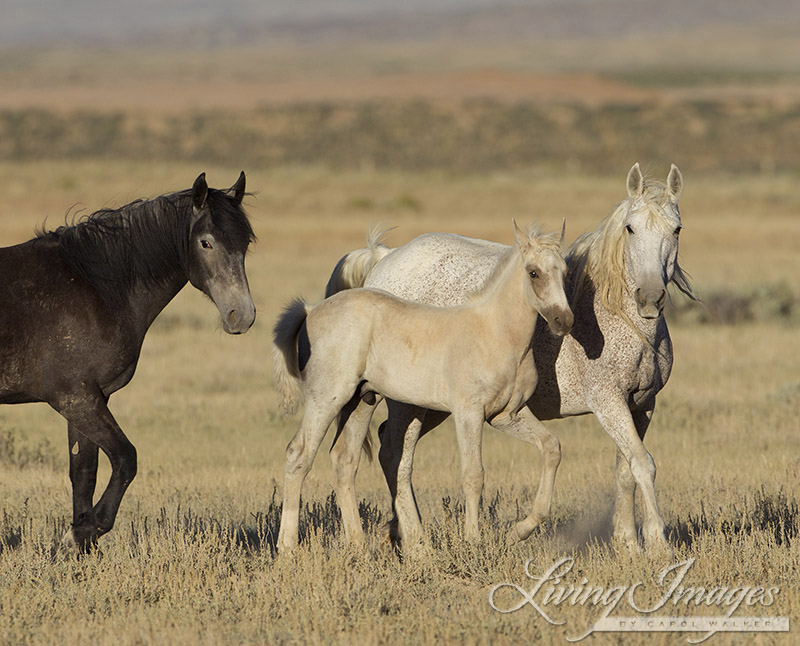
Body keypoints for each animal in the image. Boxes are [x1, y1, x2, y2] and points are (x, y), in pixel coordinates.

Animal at [272, 223, 572, 552]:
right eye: (533, 272)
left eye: (565, 272)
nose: (564, 320)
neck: (496, 332)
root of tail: (311, 311)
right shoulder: (468, 413)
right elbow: (473, 474)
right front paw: (472, 541)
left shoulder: (507, 415)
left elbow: (552, 447)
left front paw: (521, 529)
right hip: (327, 398)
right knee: (298, 454)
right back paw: (288, 548)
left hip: (361, 401)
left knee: (344, 459)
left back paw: (359, 547)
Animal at [324, 165, 692, 556]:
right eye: (630, 228)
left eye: (676, 229)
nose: (650, 298)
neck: (620, 318)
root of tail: (384, 259)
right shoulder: (608, 402)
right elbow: (643, 464)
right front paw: (657, 543)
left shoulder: (642, 404)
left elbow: (626, 470)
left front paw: (628, 544)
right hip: (406, 405)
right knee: (396, 456)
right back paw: (416, 542)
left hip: (434, 409)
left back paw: (398, 534)